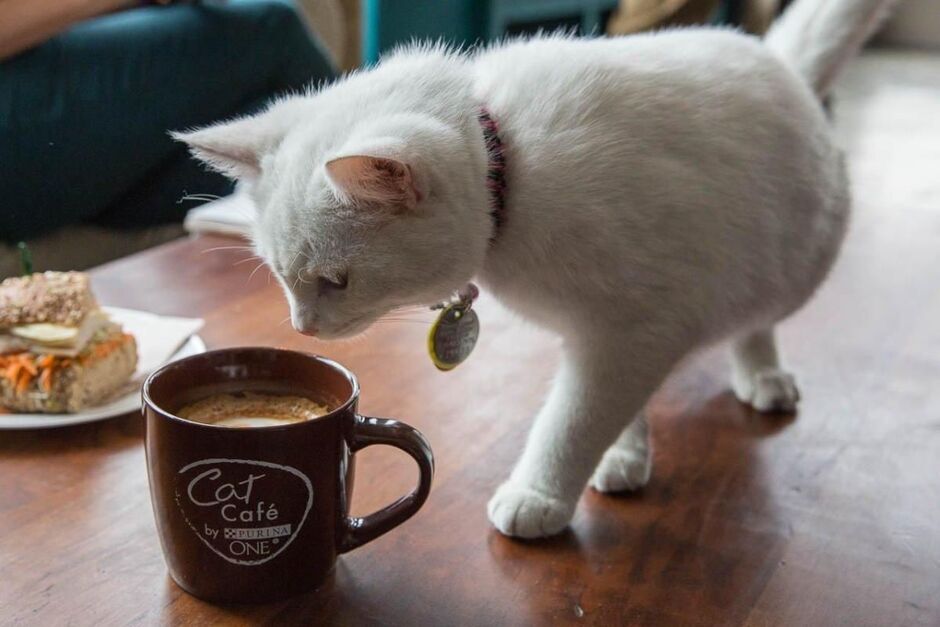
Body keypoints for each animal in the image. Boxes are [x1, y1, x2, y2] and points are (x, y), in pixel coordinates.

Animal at [174, 0, 896, 540]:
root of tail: (776, 58)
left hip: (787, 265)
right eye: (282, 278)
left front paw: (542, 491)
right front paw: (620, 450)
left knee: (756, 324)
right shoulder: (614, 335)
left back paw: (762, 374)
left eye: (335, 280)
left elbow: (572, 418)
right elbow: (605, 407)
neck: (509, 165)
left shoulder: (632, 330)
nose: (302, 326)